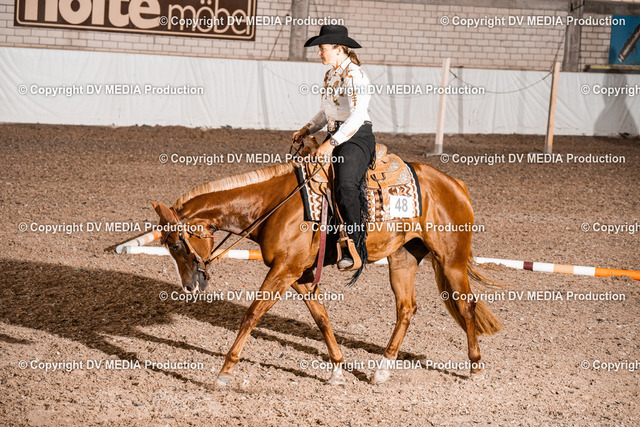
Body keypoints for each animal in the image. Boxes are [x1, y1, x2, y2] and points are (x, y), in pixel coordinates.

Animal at [151, 159, 503, 386]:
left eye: (176, 244)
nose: (189, 286)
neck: (273, 205)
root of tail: (455, 184)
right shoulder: (301, 276)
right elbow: (321, 318)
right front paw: (336, 370)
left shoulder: (284, 270)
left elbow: (252, 314)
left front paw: (225, 371)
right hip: (403, 258)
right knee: (406, 309)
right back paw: (382, 370)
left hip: (451, 260)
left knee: (466, 306)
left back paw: (475, 368)